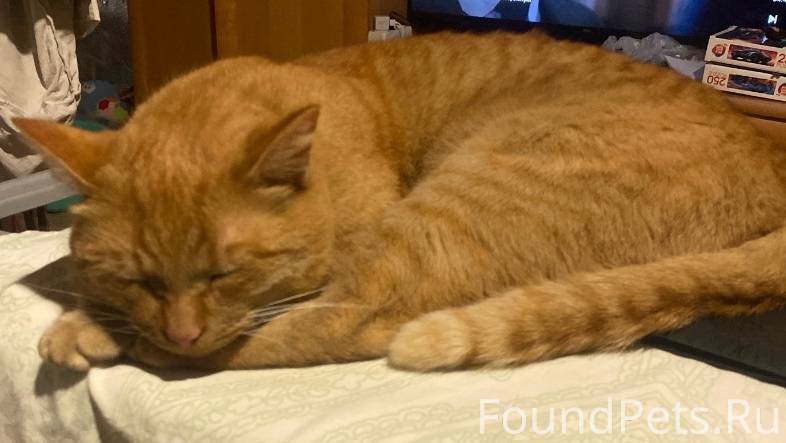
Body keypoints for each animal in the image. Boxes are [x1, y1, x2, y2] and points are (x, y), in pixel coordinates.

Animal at [14, 30, 786, 372]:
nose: (180, 331)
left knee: (349, 327)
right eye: (137, 278)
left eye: (226, 273)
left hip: (452, 204)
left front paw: (94, 327)